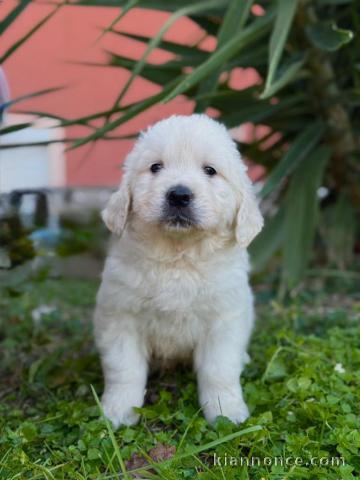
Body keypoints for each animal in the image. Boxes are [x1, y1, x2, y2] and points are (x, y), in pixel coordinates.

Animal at [95, 113, 264, 428]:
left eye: (210, 170)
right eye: (155, 167)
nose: (179, 195)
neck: (179, 256)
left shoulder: (224, 320)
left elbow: (219, 370)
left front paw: (225, 412)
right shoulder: (121, 317)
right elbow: (124, 370)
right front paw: (118, 411)